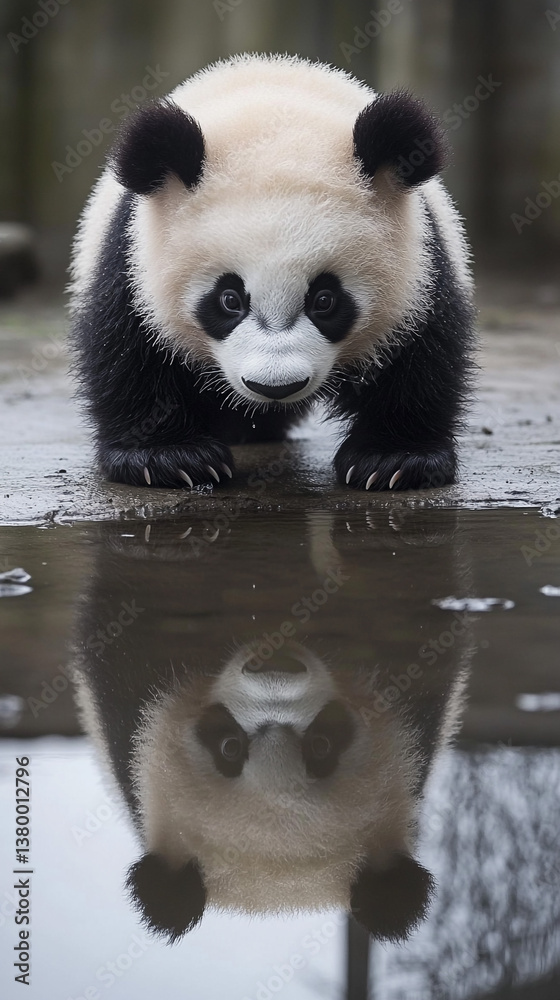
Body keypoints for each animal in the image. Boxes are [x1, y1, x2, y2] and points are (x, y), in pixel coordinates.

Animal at [70, 52, 474, 493]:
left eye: (324, 300)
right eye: (228, 299)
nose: (275, 387)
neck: (274, 124)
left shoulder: (420, 260)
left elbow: (422, 352)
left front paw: (394, 459)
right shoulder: (134, 254)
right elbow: (128, 348)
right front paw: (169, 458)